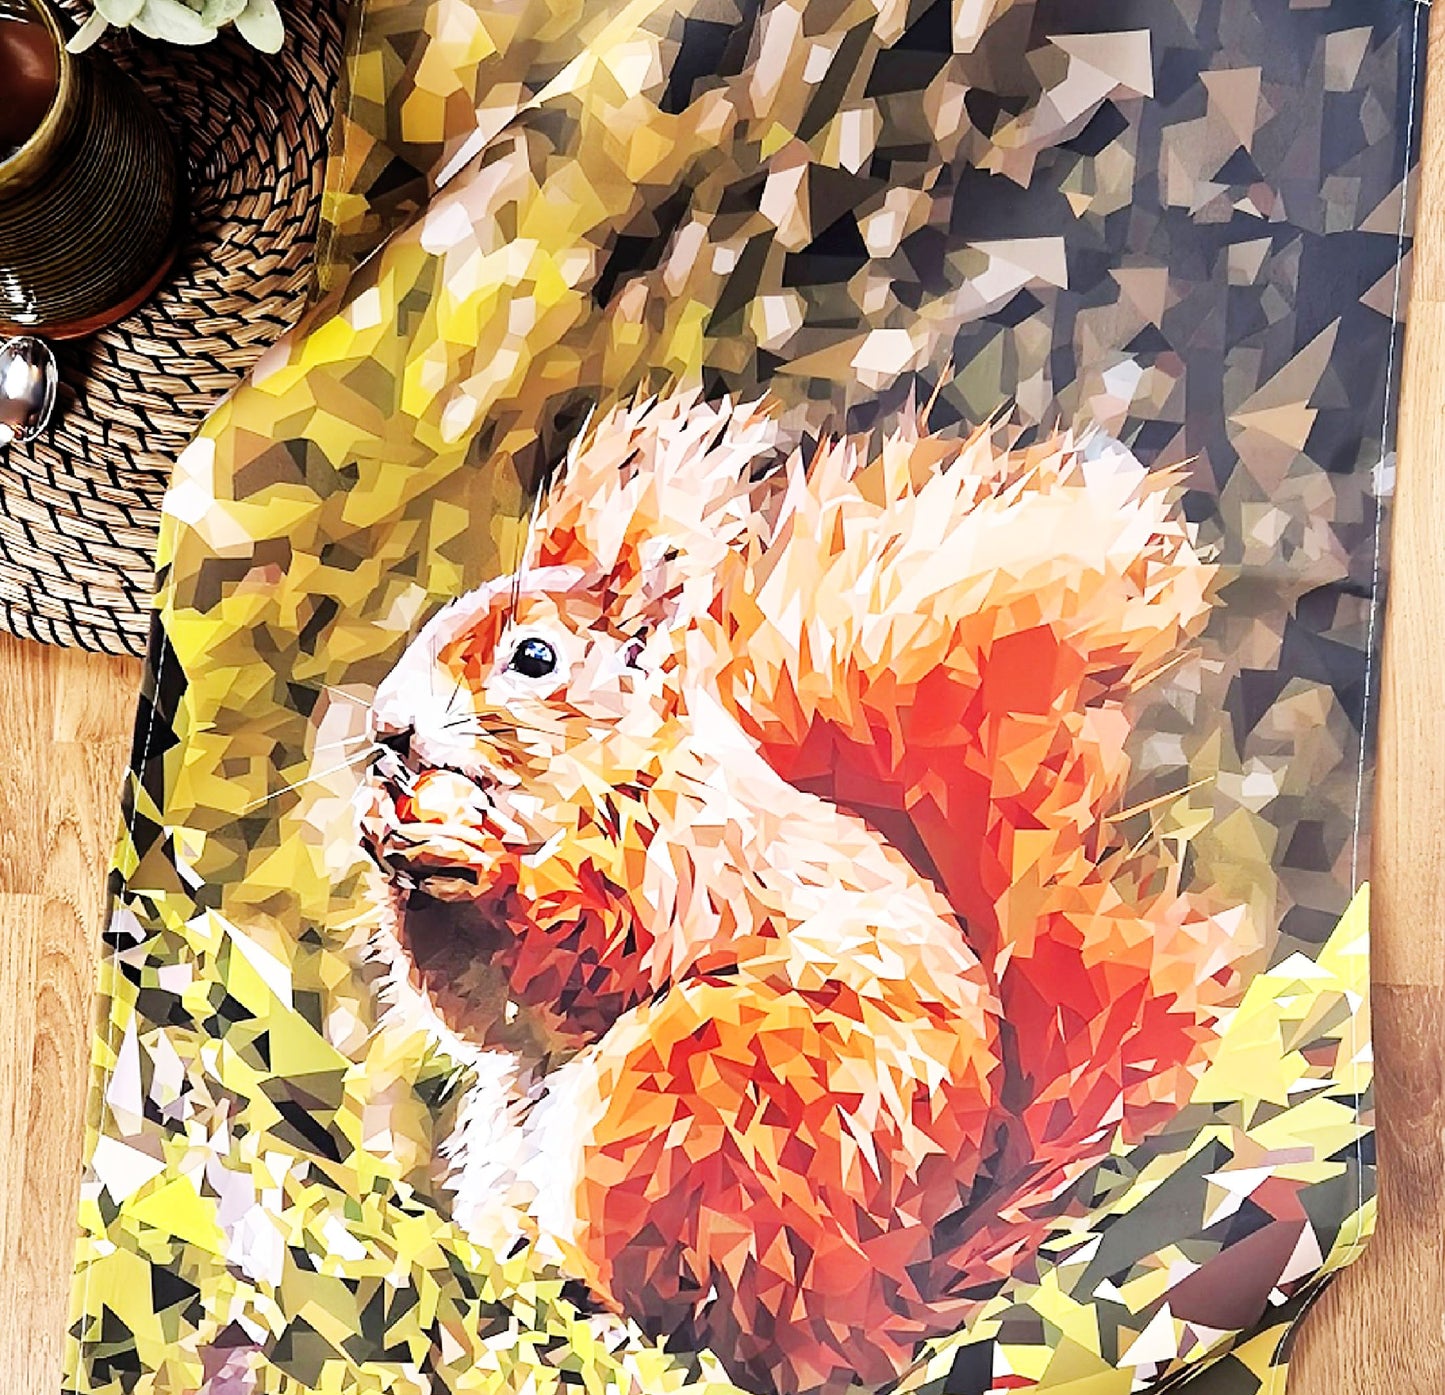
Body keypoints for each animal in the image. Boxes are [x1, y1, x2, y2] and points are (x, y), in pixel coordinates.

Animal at [356, 389, 1253, 1395]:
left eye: (535, 657)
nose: (388, 729)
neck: (603, 776)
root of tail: (865, 1315)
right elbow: (481, 1009)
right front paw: (383, 832)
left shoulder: (689, 865)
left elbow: (588, 947)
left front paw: (482, 862)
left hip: (693, 1105)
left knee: (690, 1319)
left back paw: (611, 1318)